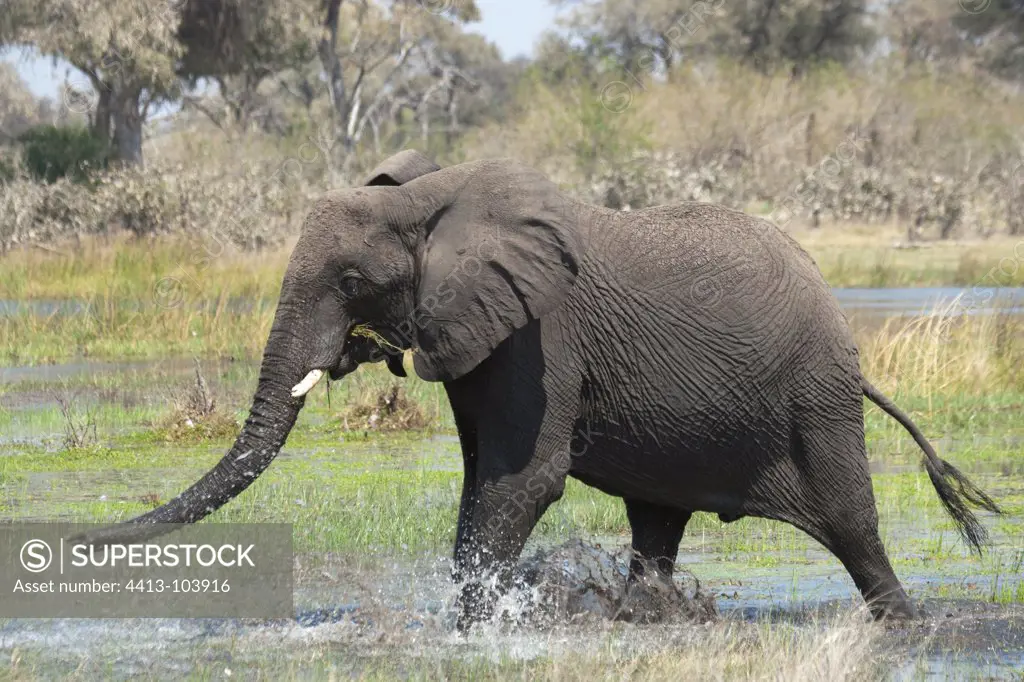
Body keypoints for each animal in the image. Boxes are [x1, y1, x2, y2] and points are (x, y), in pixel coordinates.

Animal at [97, 148, 999, 626]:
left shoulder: (537, 335)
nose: (87, 544)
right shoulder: (477, 335)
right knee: (657, 520)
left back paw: (904, 626)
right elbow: (483, 480)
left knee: (851, 526)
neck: (431, 200)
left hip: (816, 392)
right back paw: (645, 617)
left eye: (352, 281)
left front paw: (468, 629)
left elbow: (521, 480)